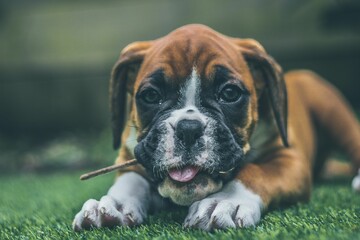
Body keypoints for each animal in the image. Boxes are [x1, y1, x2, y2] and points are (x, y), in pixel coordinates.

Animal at [72, 23, 360, 231]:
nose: (188, 128)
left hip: (333, 112)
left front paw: (225, 202)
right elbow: (130, 180)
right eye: (151, 96)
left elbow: (256, 172)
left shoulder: (288, 159)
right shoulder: (129, 155)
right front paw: (113, 204)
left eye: (230, 93)